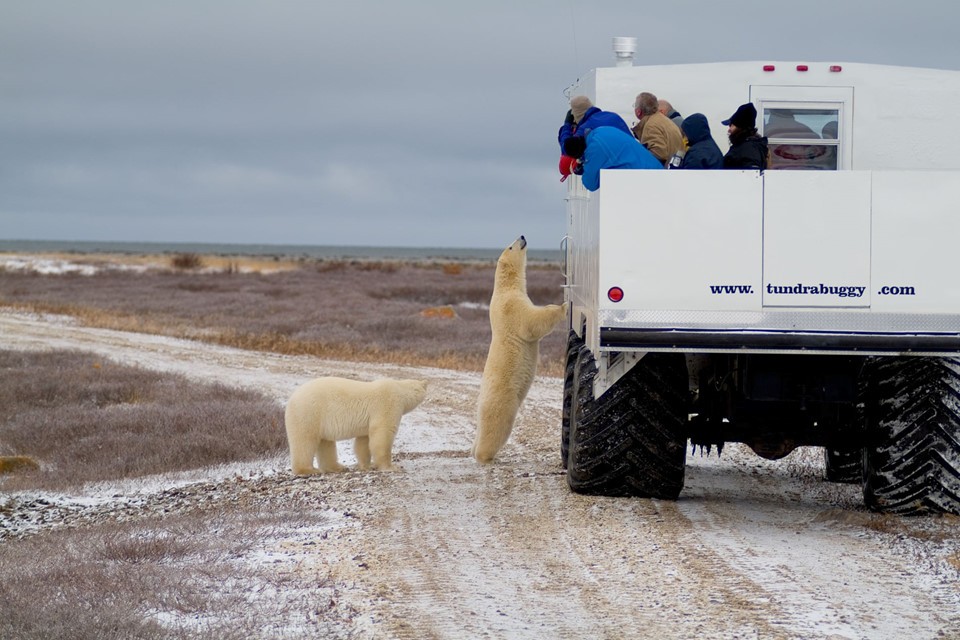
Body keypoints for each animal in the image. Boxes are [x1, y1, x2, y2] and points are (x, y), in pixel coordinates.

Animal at [284, 376, 428, 476]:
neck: (400, 389)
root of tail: (291, 399)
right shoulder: (388, 403)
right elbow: (383, 433)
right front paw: (390, 467)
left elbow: (364, 440)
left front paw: (366, 465)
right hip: (309, 412)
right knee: (304, 441)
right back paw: (308, 470)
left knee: (326, 443)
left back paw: (337, 467)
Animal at [474, 232, 568, 462]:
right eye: (511, 246)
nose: (523, 235)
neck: (504, 287)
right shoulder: (511, 305)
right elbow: (530, 322)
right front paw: (562, 307)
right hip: (503, 398)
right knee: (497, 425)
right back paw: (484, 455)